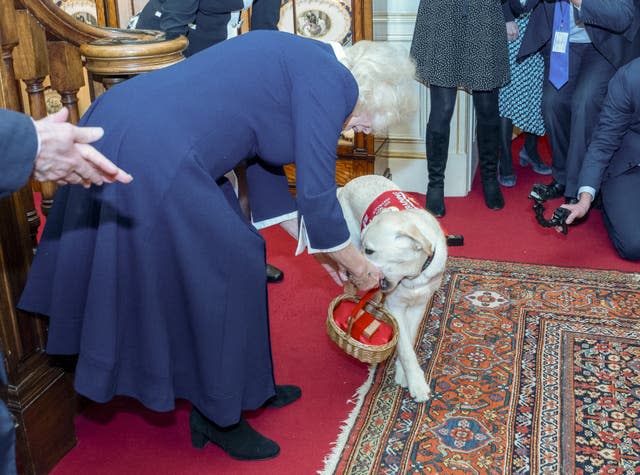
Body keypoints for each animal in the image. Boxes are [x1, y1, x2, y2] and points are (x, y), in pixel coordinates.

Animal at [338, 175, 448, 402]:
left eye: (370, 250)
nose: (353, 271)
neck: (413, 275)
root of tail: (348, 183)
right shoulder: (395, 306)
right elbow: (405, 347)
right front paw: (417, 384)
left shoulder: (419, 306)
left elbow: (408, 340)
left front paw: (402, 372)